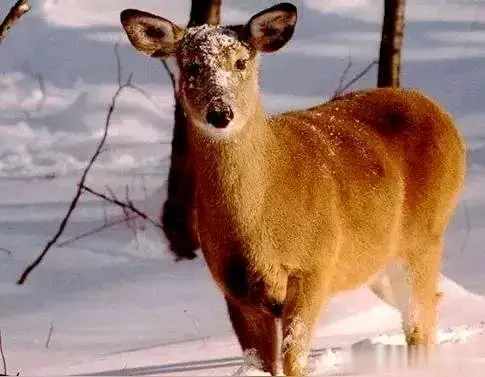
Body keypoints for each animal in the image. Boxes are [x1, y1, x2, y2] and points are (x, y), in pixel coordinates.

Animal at [120, 2, 466, 374]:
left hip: (424, 236)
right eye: (193, 66)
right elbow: (261, 364)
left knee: (421, 319)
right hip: (380, 262)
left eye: (241, 62)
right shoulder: (234, 288)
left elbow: (293, 359)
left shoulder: (314, 267)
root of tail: (439, 113)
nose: (220, 114)